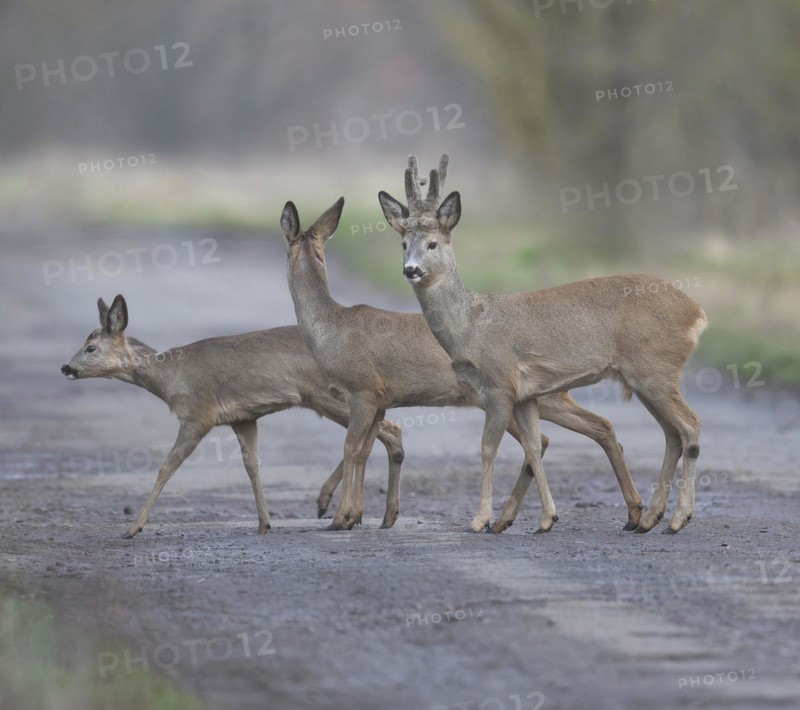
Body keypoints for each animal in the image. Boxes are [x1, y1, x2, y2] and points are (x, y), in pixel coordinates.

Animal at [60, 295, 407, 538]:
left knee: (388, 429)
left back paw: (342, 509)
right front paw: (264, 523)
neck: (171, 378)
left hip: (330, 396)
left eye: (90, 347)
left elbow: (166, 468)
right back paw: (376, 516)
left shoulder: (197, 415)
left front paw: (133, 528)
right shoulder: (243, 418)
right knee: (382, 433)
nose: (66, 367)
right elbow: (252, 466)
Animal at [281, 197, 645, 532]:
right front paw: (361, 515)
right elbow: (365, 449)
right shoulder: (381, 399)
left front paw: (340, 517)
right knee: (589, 429)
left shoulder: (363, 391)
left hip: (532, 395)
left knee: (560, 435)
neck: (332, 329)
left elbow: (351, 447)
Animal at [378, 154, 708, 534]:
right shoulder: (526, 394)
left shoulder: (500, 385)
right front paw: (547, 518)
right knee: (672, 433)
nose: (411, 269)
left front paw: (480, 519)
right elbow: (534, 448)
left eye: (433, 243)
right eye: (404, 243)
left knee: (690, 425)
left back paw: (678, 518)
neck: (471, 326)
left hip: (655, 369)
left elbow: (488, 448)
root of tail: (697, 313)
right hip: (646, 377)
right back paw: (650, 518)